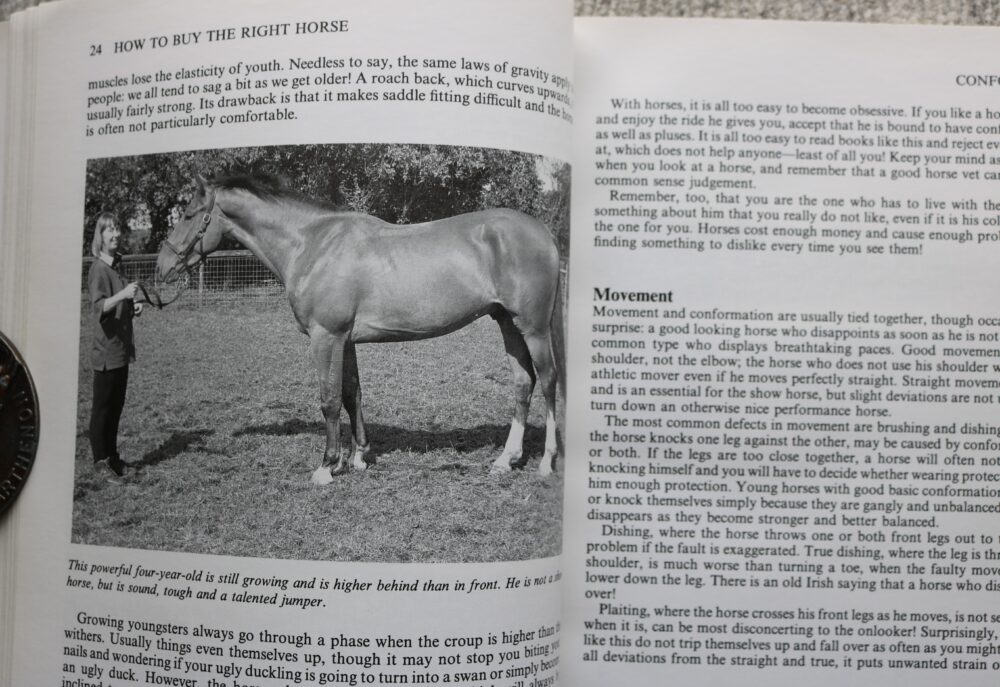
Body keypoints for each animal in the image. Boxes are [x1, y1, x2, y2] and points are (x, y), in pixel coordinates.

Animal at [155, 173, 562, 484]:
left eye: (189, 214)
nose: (162, 267)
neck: (312, 244)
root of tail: (544, 232)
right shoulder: (345, 339)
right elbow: (353, 394)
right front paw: (359, 457)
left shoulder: (326, 337)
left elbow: (330, 400)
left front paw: (326, 466)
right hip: (507, 322)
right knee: (523, 383)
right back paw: (505, 460)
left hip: (533, 328)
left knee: (547, 380)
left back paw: (546, 462)